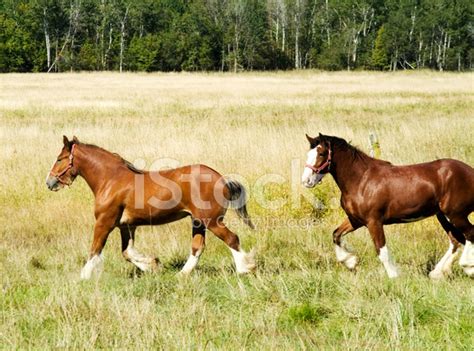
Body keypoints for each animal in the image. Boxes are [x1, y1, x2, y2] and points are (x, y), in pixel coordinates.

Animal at [45, 136, 256, 280]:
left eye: (59, 158)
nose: (49, 182)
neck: (111, 179)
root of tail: (222, 179)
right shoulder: (127, 226)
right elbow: (127, 253)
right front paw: (153, 265)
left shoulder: (104, 222)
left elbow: (95, 250)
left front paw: (83, 276)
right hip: (197, 221)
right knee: (198, 247)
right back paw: (181, 274)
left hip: (211, 221)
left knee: (232, 238)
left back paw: (244, 269)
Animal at [302, 133, 472, 280]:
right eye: (308, 153)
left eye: (321, 153)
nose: (306, 181)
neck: (361, 180)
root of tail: (470, 171)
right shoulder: (355, 220)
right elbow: (336, 235)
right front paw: (351, 262)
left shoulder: (374, 221)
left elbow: (381, 250)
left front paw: (393, 276)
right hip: (443, 215)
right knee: (456, 240)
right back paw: (437, 273)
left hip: (456, 214)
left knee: (469, 234)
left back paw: (468, 267)